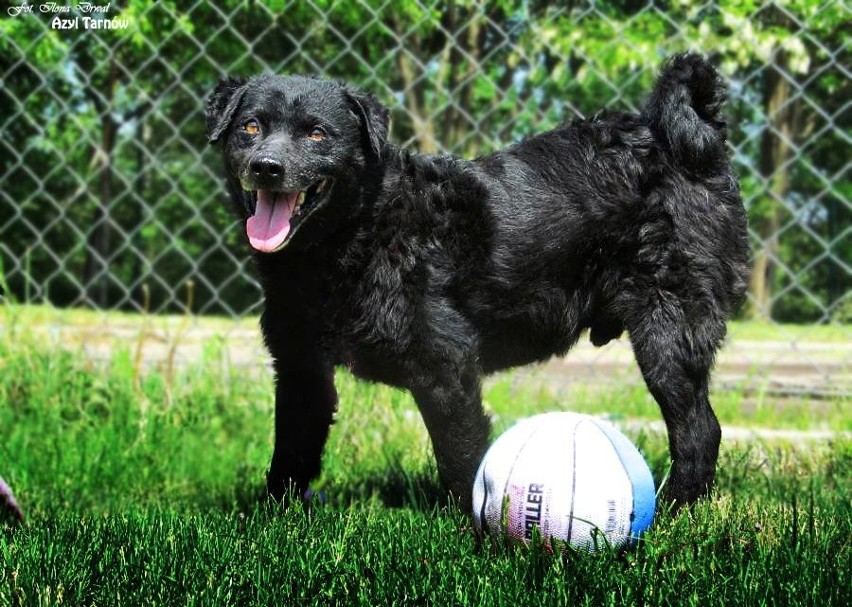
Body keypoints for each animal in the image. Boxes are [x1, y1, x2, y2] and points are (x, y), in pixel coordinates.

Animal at [210, 54, 748, 510]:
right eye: (251, 126)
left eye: (318, 134)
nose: (267, 167)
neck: (363, 228)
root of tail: (685, 143)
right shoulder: (300, 368)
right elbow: (290, 454)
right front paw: (275, 522)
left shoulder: (446, 367)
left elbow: (461, 458)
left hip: (670, 329)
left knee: (700, 432)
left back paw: (674, 509)